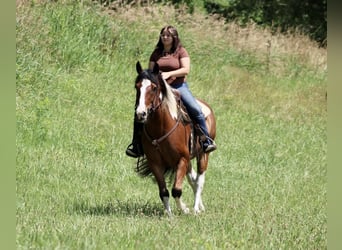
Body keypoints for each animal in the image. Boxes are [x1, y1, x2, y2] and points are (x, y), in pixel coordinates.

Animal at [134, 61, 216, 216]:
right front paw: (169, 214)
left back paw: (196, 208)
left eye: (154, 88)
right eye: (136, 86)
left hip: (203, 154)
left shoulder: (182, 159)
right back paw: (200, 206)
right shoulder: (155, 163)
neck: (161, 128)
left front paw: (185, 209)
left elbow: (176, 190)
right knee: (193, 180)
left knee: (199, 180)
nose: (141, 113)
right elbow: (164, 192)